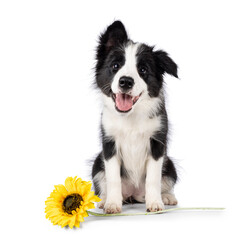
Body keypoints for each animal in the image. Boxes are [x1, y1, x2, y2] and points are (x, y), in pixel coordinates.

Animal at [92, 21, 178, 214]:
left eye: (143, 70)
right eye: (115, 66)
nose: (126, 81)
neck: (130, 116)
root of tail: (133, 194)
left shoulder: (157, 143)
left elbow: (153, 177)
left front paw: (155, 203)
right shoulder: (109, 144)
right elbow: (113, 177)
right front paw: (112, 204)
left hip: (170, 164)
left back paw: (167, 197)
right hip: (97, 163)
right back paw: (104, 199)